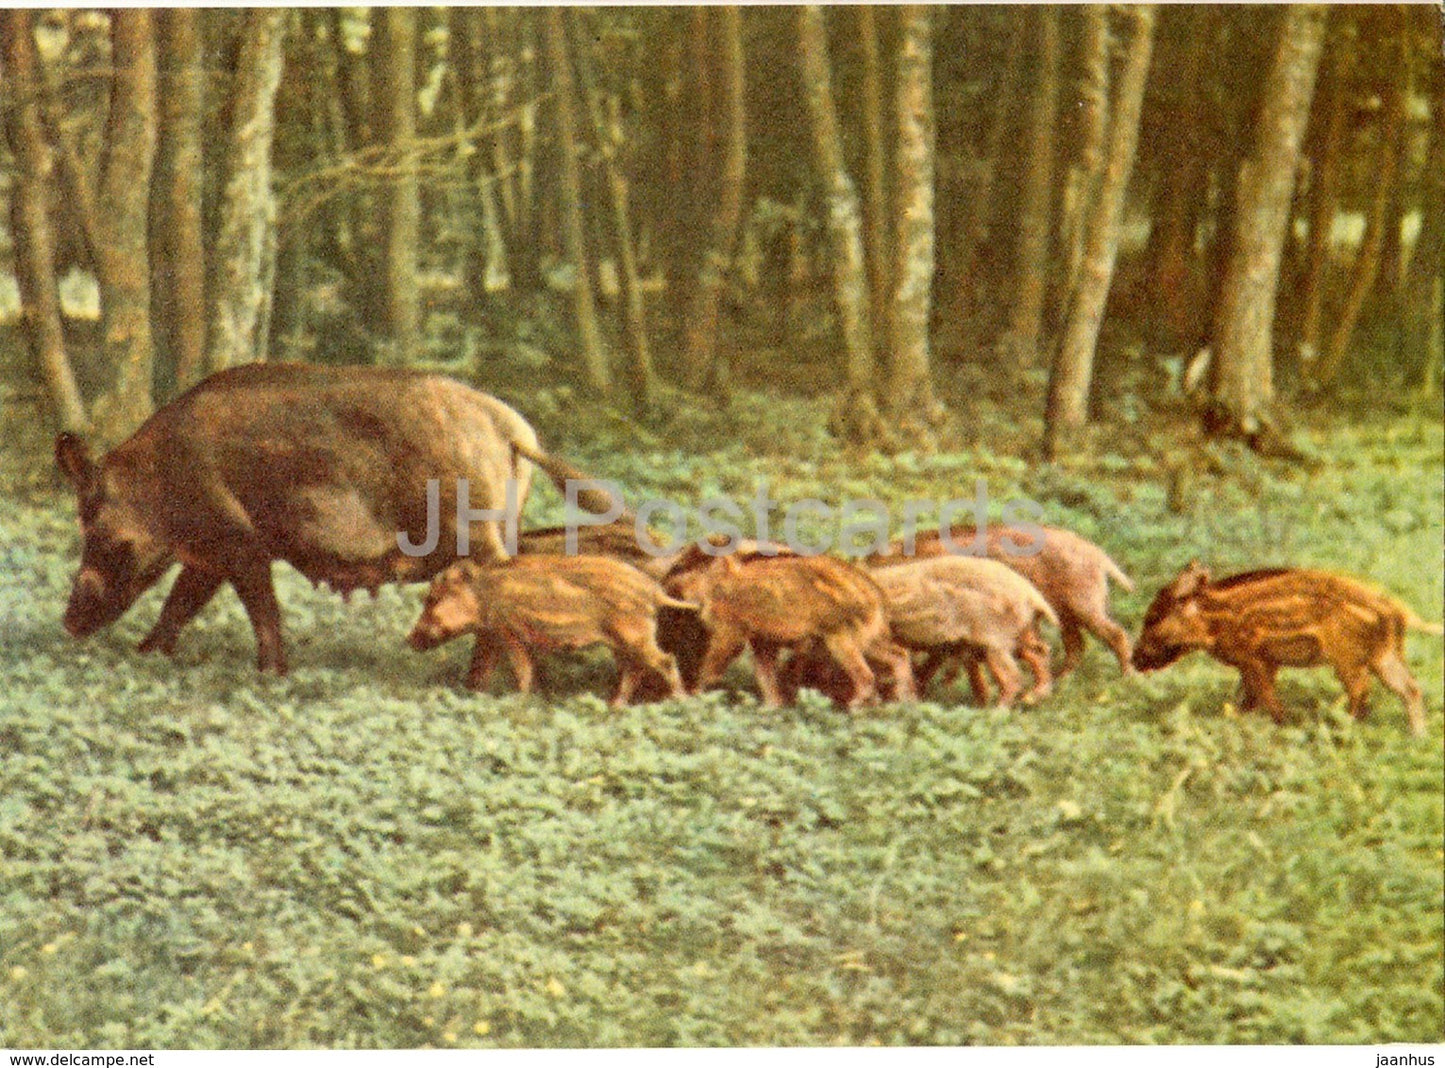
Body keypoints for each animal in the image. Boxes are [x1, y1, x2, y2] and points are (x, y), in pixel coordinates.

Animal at [56, 363, 618, 675]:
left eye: (93, 524)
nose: (68, 623)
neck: (161, 479)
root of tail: (513, 426)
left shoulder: (239, 538)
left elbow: (259, 609)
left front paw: (270, 674)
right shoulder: (211, 554)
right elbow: (181, 602)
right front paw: (145, 653)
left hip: (478, 528)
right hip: (505, 526)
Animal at [406, 554, 694, 705]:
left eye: (432, 599)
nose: (409, 639)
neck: (481, 597)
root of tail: (656, 592)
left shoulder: (508, 632)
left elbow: (522, 670)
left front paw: (519, 700)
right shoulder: (492, 636)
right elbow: (484, 669)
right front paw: (475, 693)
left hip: (634, 636)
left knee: (664, 661)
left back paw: (680, 701)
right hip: (622, 643)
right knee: (633, 670)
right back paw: (614, 706)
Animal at [663, 551, 914, 710]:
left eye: (686, 569)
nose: (671, 586)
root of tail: (875, 590)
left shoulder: (730, 631)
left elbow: (711, 667)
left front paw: (695, 694)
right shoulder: (762, 640)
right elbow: (765, 675)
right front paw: (772, 707)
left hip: (840, 636)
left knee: (866, 675)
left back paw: (857, 704)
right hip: (869, 636)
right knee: (900, 654)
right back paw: (906, 700)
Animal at [868, 524, 1134, 678]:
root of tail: (1099, 556)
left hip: (1084, 603)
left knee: (1116, 634)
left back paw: (1126, 678)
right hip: (1065, 613)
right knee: (1076, 644)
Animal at [1132, 562, 1442, 736]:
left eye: (1152, 618)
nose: (1134, 660)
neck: (1213, 621)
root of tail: (1396, 609)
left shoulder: (1253, 657)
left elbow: (1265, 697)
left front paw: (1282, 725)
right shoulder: (1265, 662)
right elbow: (1248, 699)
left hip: (1348, 659)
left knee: (1361, 692)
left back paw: (1344, 729)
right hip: (1384, 656)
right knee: (1410, 689)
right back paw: (1417, 736)